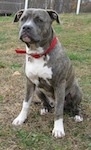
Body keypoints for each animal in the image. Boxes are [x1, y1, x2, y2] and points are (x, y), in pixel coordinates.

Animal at [12, 8, 83, 138]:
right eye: (23, 19)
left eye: (39, 20)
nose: (26, 27)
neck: (37, 53)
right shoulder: (29, 83)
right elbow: (25, 103)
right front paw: (20, 119)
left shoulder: (59, 85)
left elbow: (59, 110)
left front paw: (58, 129)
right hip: (39, 91)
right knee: (45, 102)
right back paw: (45, 108)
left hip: (76, 91)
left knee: (75, 106)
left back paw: (77, 115)